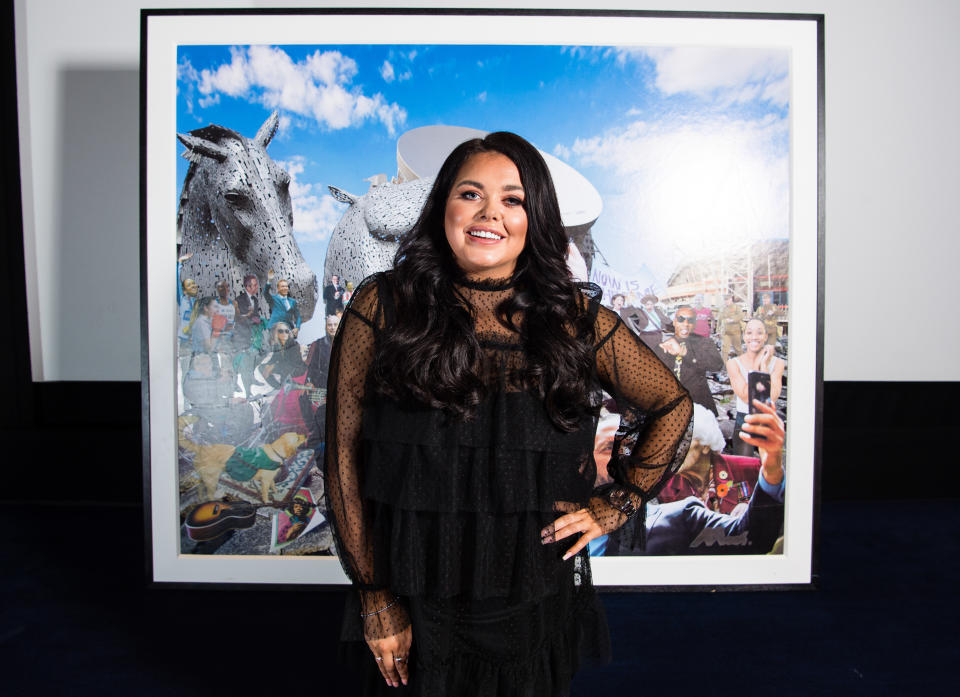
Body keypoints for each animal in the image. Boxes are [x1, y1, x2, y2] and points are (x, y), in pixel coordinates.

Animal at [176, 416, 304, 502]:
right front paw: (267, 501)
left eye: (298, 434)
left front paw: (276, 492)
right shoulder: (265, 481)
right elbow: (265, 493)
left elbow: (273, 486)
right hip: (212, 480)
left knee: (200, 489)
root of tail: (200, 448)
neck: (275, 451)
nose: (306, 435)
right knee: (210, 495)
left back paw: (202, 499)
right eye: (297, 438)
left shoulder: (270, 479)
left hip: (206, 479)